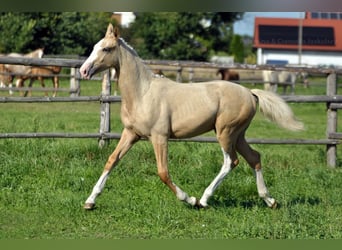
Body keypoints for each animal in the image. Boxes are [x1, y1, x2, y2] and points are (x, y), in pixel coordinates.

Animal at [81, 23, 304, 211]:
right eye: (94, 46)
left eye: (106, 49)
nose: (84, 71)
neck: (142, 93)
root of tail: (250, 93)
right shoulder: (131, 134)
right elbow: (111, 161)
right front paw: (90, 201)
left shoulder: (159, 137)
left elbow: (163, 172)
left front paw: (189, 199)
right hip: (238, 135)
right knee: (254, 158)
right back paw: (270, 200)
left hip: (225, 133)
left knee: (230, 161)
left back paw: (204, 200)